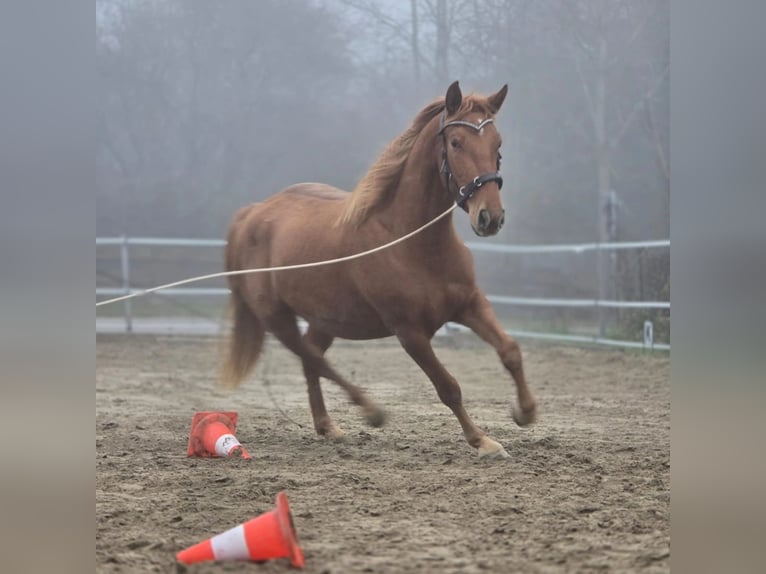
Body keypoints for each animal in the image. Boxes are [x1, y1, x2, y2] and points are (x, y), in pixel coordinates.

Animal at [221, 81, 537, 458]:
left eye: (497, 143)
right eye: (456, 143)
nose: (490, 217)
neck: (412, 242)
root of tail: (252, 213)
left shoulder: (469, 304)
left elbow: (511, 351)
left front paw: (525, 411)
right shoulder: (409, 332)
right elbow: (448, 387)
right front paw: (483, 441)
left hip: (326, 319)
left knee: (312, 357)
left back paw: (328, 426)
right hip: (276, 317)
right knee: (311, 356)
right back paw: (370, 410)